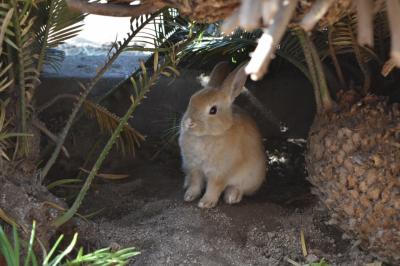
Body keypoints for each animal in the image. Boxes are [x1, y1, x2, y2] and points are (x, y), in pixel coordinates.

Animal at [180, 61, 268, 209]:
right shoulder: (195, 168)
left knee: (239, 188)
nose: (189, 123)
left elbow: (214, 188)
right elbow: (195, 183)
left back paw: (232, 197)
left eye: (213, 110)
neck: (209, 135)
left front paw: (205, 203)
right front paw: (189, 196)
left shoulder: (219, 174)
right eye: (192, 100)